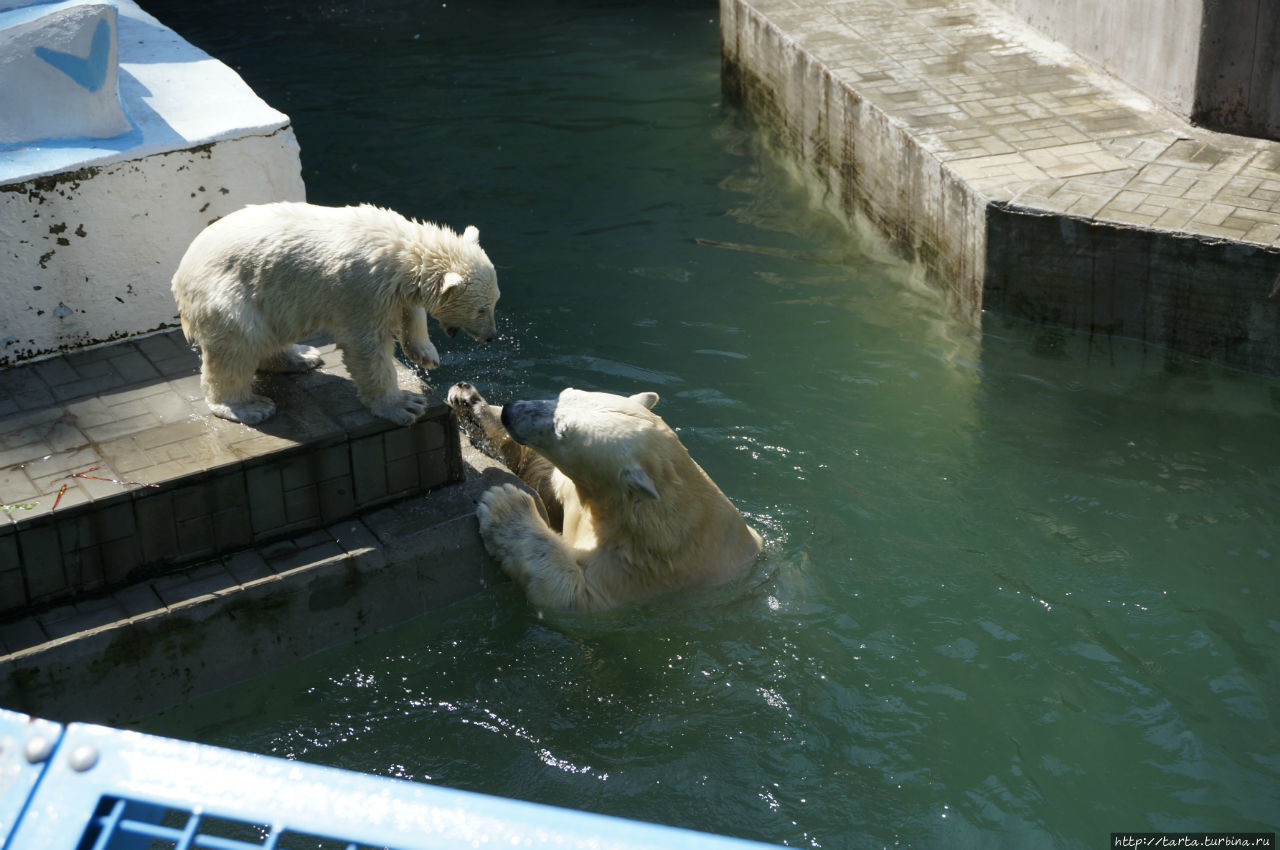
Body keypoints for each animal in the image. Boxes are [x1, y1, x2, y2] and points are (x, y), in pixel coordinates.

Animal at [166, 199, 494, 425]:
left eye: (494, 302)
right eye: (482, 309)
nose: (492, 336)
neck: (399, 250)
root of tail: (180, 275)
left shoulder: (392, 288)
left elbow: (410, 310)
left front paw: (426, 354)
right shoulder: (362, 290)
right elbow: (367, 348)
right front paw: (403, 404)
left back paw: (302, 356)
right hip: (228, 294)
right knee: (237, 344)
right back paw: (248, 406)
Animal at [450, 384, 757, 611]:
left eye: (562, 430)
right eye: (563, 393)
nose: (511, 412)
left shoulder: (643, 571)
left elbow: (570, 593)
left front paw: (505, 506)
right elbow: (550, 480)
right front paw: (470, 403)